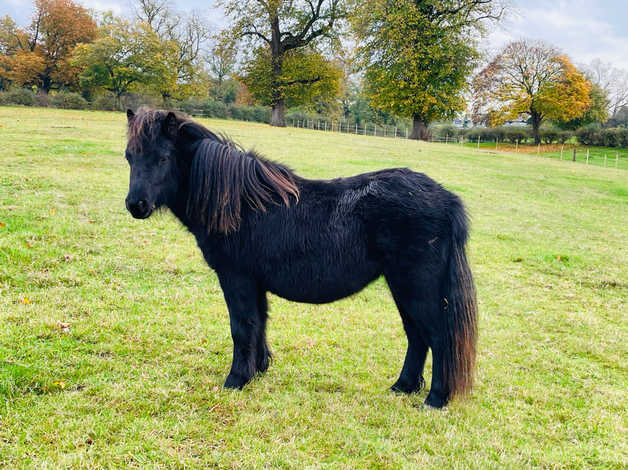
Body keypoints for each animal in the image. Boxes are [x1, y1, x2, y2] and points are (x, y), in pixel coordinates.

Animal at [122, 107, 476, 408]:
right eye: (129, 157)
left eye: (163, 157)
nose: (136, 205)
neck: (237, 204)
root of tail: (448, 200)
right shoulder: (255, 282)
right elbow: (259, 322)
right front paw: (259, 369)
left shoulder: (236, 278)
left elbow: (242, 326)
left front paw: (236, 379)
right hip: (403, 287)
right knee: (417, 335)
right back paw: (402, 386)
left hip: (416, 287)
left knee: (438, 336)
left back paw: (435, 399)